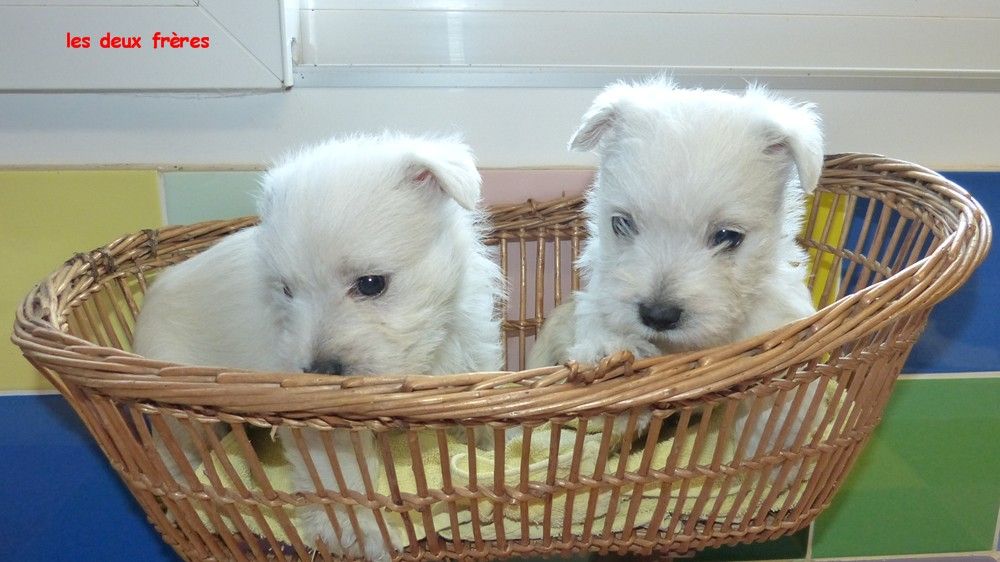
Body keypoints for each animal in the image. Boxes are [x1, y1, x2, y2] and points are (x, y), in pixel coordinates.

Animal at [528, 79, 824, 456]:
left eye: (728, 236)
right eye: (621, 223)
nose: (658, 315)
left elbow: (774, 415)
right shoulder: (597, 301)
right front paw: (610, 351)